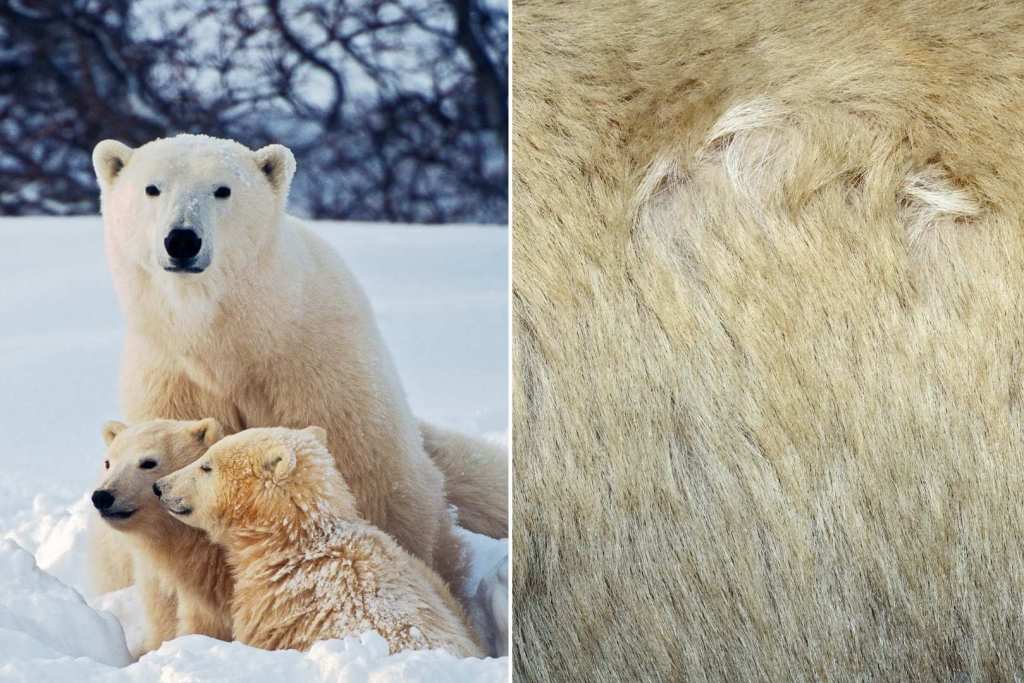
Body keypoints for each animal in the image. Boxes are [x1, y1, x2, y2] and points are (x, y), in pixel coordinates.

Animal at [90, 134, 507, 601]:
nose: (182, 240)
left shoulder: (314, 367)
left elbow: (368, 480)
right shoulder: (170, 378)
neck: (231, 339)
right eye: (152, 188)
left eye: (222, 189)